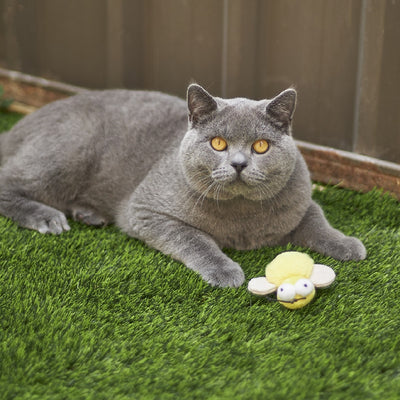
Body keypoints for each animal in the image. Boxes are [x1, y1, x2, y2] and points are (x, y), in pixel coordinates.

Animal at [0, 84, 366, 286]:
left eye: (261, 146)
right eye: (218, 143)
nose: (239, 164)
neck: (243, 217)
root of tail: (23, 122)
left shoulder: (301, 198)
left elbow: (318, 220)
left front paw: (347, 245)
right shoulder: (145, 211)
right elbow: (194, 238)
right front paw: (224, 270)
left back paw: (88, 213)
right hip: (69, 151)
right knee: (9, 181)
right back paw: (47, 217)